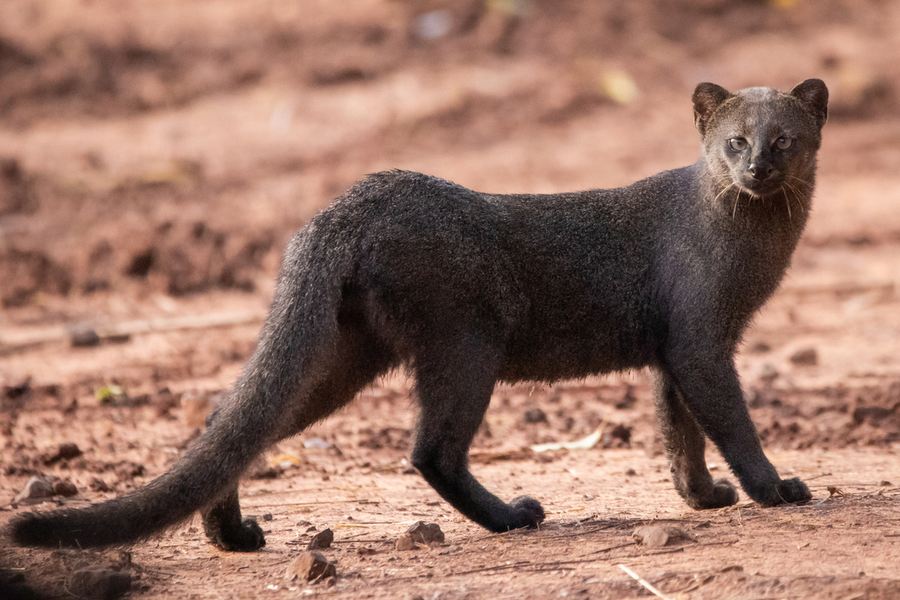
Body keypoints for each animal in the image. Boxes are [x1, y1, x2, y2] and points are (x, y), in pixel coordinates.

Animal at [8, 77, 828, 552]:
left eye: (783, 139)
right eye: (734, 142)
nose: (758, 168)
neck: (749, 240)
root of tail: (349, 203)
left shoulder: (673, 348)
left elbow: (680, 435)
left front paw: (706, 498)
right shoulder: (699, 339)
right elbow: (731, 423)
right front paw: (776, 489)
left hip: (347, 355)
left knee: (232, 421)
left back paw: (233, 535)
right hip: (465, 346)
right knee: (431, 450)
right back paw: (515, 516)